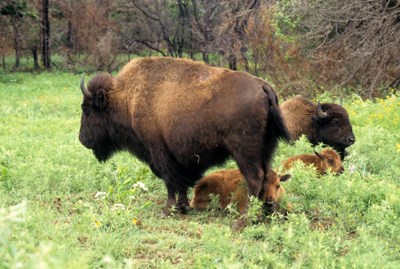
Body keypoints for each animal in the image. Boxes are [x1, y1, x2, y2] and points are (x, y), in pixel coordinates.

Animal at [79, 56, 290, 216]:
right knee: (268, 176)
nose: (82, 139)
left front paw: (170, 209)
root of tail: (263, 86)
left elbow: (170, 180)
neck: (128, 97)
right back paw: (265, 209)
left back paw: (246, 212)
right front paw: (182, 207)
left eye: (87, 109)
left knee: (255, 177)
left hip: (244, 151)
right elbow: (179, 181)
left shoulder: (159, 151)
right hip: (266, 149)